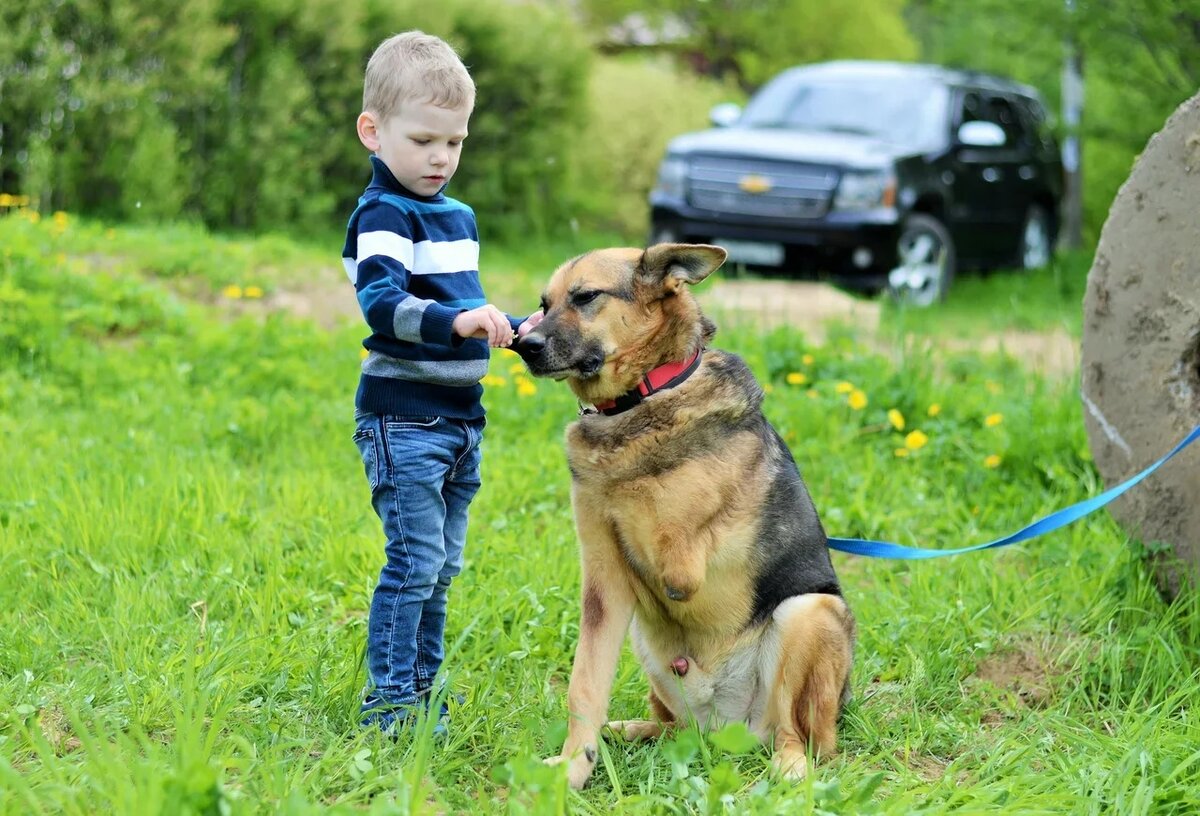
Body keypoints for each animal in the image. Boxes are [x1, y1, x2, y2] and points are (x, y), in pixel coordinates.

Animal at [516, 243, 854, 792]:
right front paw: (573, 765)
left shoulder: (680, 564)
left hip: (810, 613)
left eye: (586, 297)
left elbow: (659, 532)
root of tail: (725, 731)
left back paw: (788, 765)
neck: (645, 396)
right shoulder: (602, 584)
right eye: (544, 304)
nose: (524, 344)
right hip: (648, 648)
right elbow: (584, 685)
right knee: (672, 728)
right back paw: (628, 730)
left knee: (800, 736)